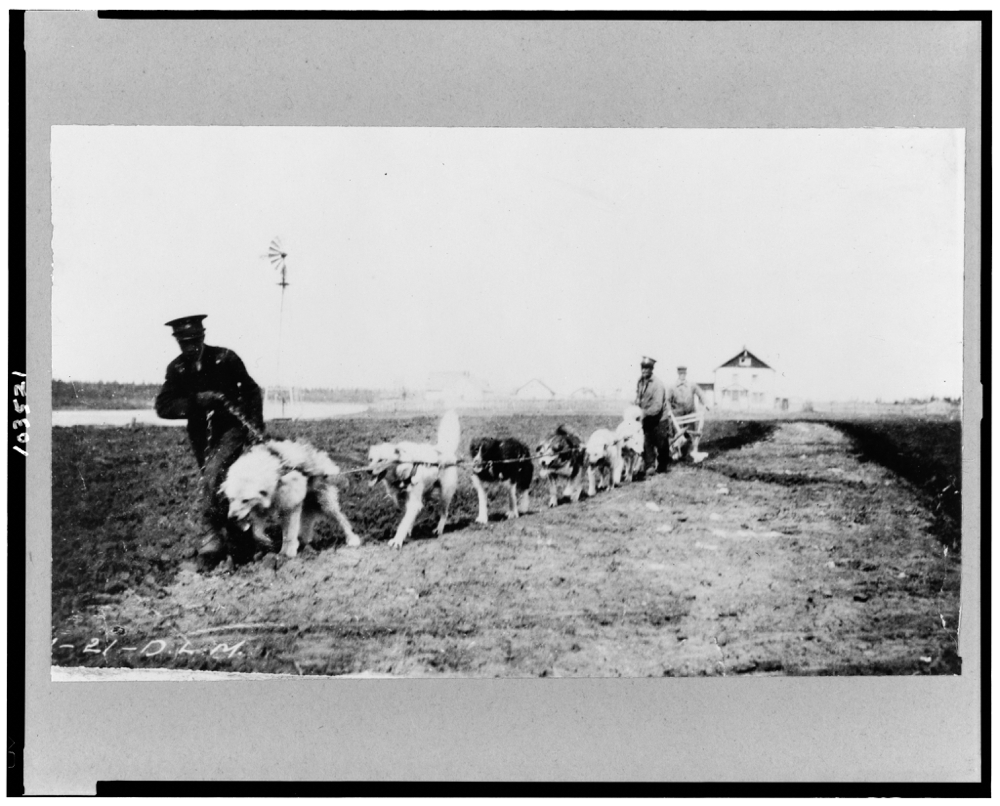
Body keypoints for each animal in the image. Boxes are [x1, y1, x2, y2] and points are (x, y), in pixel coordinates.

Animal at [221, 438, 362, 560]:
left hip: (325, 502)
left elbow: (290, 531)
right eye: (231, 499)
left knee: (341, 519)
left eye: (245, 500)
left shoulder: (292, 505)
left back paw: (352, 539)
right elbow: (257, 532)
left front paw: (289, 552)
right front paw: (268, 542)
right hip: (309, 506)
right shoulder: (264, 509)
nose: (231, 517)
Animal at [368, 410, 460, 548]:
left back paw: (439, 529)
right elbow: (406, 519)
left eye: (381, 460)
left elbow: (404, 522)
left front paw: (397, 540)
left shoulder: (413, 502)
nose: (368, 471)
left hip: (445, 495)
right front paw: (407, 531)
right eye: (370, 459)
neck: (401, 471)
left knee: (444, 513)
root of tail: (444, 449)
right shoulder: (403, 501)